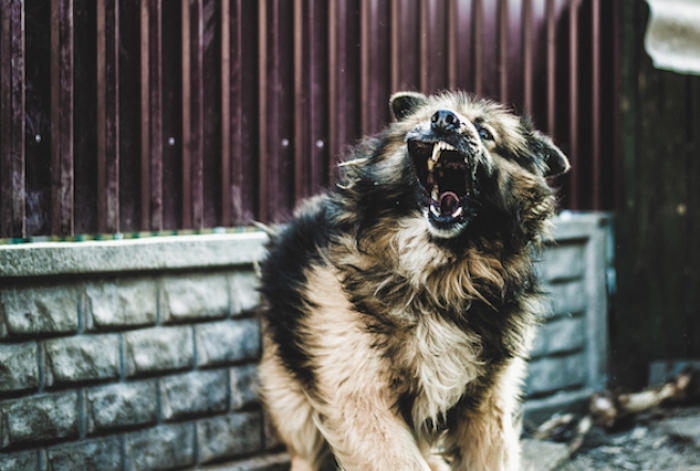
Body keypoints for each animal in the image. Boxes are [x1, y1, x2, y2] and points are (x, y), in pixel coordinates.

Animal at [258, 92, 568, 471]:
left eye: (485, 132)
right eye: (428, 116)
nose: (445, 119)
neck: (440, 277)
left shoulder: (486, 405)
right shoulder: (362, 397)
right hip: (294, 405)